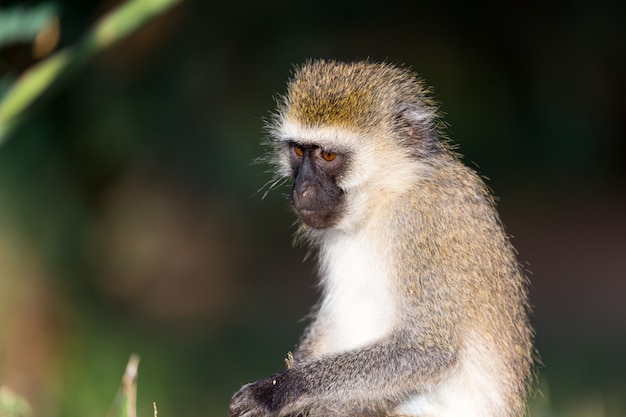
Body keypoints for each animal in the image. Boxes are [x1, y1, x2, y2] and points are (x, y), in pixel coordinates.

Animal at [229, 58, 532, 416]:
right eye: (300, 151)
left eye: (328, 156)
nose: (301, 189)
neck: (385, 196)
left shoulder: (426, 222)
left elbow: (425, 349)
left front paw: (279, 390)